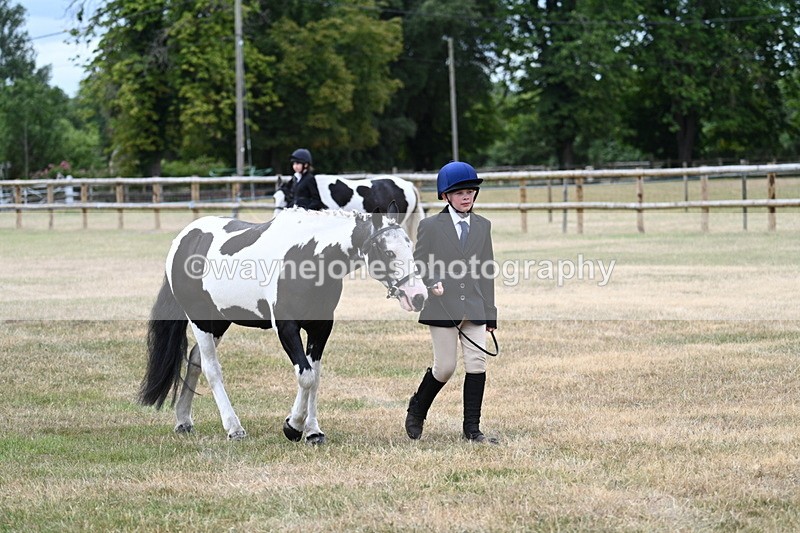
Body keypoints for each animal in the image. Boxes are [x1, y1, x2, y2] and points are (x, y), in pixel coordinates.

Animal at [139, 206, 428, 444]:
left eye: (410, 247)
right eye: (388, 251)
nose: (418, 296)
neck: (307, 256)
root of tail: (183, 240)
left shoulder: (321, 327)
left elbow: (315, 376)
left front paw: (312, 431)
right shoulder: (287, 327)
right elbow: (305, 375)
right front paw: (293, 426)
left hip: (219, 321)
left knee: (195, 360)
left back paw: (183, 419)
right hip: (200, 321)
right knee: (211, 368)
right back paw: (234, 428)